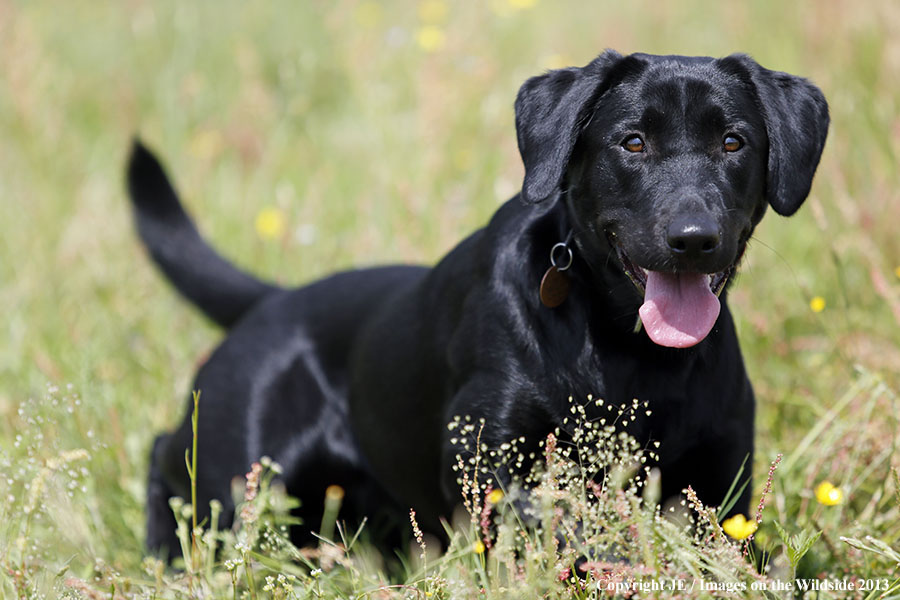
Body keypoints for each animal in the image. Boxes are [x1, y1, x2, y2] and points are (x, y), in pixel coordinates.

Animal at [128, 51, 828, 556]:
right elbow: (564, 528)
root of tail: (275, 299)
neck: (630, 352)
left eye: (733, 142)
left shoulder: (722, 480)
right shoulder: (488, 458)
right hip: (240, 466)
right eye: (633, 142)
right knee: (168, 460)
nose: (693, 238)